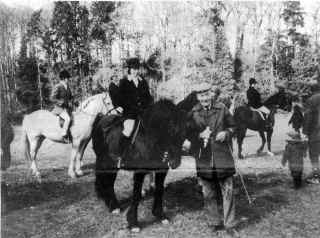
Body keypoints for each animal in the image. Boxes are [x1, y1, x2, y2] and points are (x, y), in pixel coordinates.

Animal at [91, 99, 186, 232]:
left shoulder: (161, 170)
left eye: (183, 133)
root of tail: (101, 119)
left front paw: (160, 216)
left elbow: (159, 190)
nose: (175, 163)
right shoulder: (140, 171)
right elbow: (136, 195)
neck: (150, 139)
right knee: (107, 183)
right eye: (169, 130)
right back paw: (114, 207)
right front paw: (133, 224)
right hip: (106, 162)